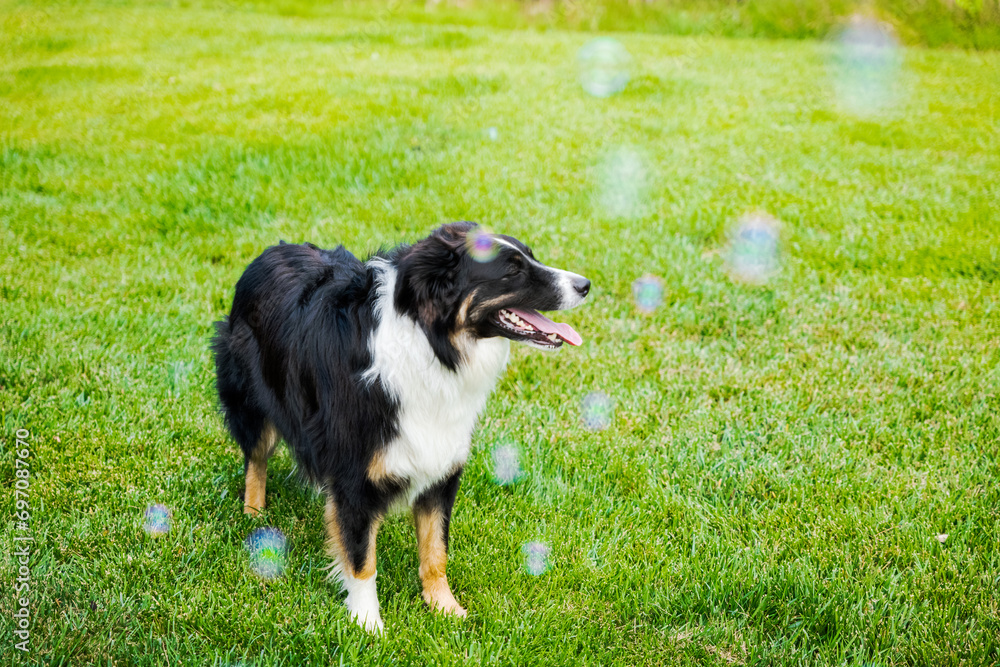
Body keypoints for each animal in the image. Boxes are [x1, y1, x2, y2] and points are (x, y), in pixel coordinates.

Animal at [211, 223, 584, 632]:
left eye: (530, 256)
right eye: (512, 270)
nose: (585, 284)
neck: (433, 345)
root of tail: (270, 251)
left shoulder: (441, 466)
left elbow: (436, 550)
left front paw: (444, 606)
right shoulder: (354, 476)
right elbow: (362, 559)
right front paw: (367, 624)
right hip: (251, 399)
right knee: (256, 457)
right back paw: (254, 512)